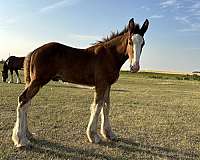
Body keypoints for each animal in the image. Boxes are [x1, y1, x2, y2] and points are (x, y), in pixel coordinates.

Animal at [11, 18, 148, 148]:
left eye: (143, 43)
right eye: (130, 42)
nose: (135, 67)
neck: (109, 55)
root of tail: (33, 51)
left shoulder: (108, 85)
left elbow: (106, 107)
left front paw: (109, 134)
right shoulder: (101, 84)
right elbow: (97, 106)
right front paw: (93, 136)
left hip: (32, 82)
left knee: (26, 103)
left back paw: (27, 134)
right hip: (38, 81)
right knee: (23, 100)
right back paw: (22, 140)